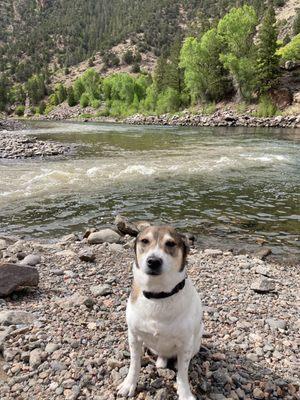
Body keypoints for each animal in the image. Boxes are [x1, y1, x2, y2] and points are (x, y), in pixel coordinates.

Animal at [117, 227, 204, 398]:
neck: (159, 295)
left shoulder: (185, 344)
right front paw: (129, 384)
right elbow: (134, 364)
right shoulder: (134, 337)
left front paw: (185, 394)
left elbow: (182, 374)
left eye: (170, 243)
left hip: (196, 342)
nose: (153, 261)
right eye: (145, 241)